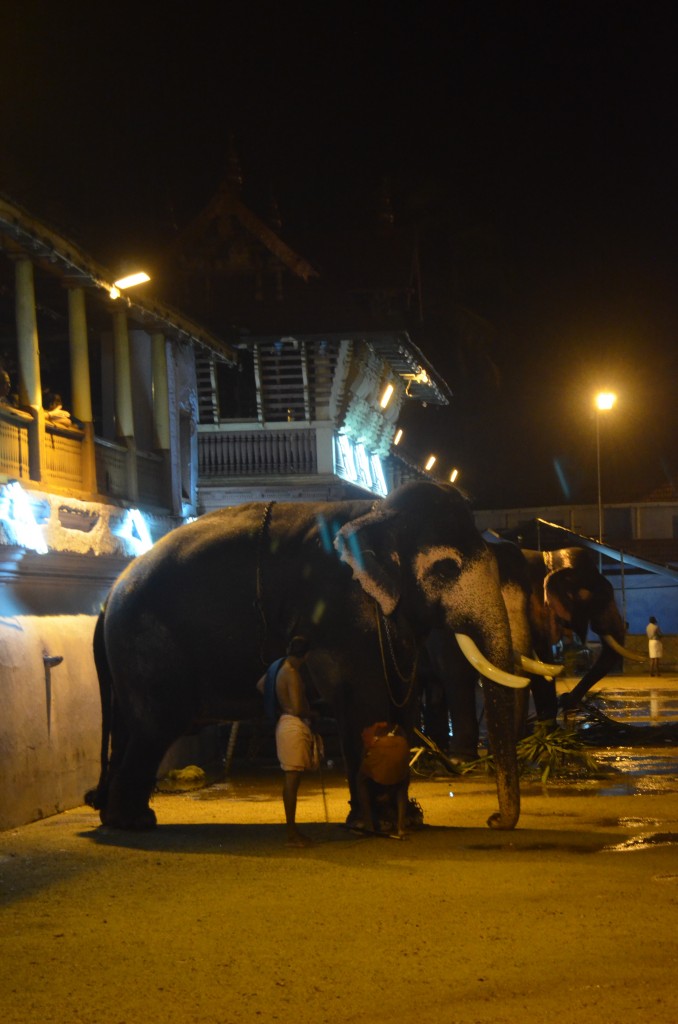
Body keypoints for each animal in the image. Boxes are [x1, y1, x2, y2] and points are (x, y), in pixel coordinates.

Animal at [85, 479, 532, 831]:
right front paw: (373, 825)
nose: (493, 820)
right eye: (445, 568)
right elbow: (365, 703)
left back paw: (117, 817)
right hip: (147, 653)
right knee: (153, 729)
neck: (376, 512)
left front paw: (408, 819)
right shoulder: (342, 616)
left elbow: (400, 708)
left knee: (129, 730)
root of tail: (108, 598)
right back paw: (134, 823)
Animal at [426, 536, 643, 761]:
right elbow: (454, 669)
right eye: (597, 597)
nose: (567, 699)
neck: (548, 557)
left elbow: (541, 664)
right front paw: (464, 760)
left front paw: (547, 738)